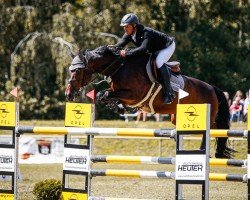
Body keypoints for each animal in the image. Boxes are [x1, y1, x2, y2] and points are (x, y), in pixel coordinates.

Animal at [64, 45, 232, 159]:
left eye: (77, 70)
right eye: (70, 70)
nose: (68, 94)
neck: (120, 67)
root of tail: (212, 88)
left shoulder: (135, 94)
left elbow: (104, 93)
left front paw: (118, 106)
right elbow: (103, 95)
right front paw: (119, 107)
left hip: (205, 116)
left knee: (214, 131)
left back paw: (205, 152)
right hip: (177, 117)